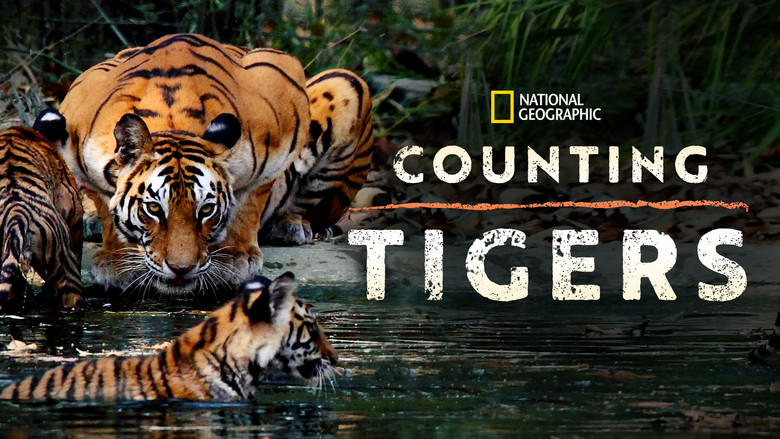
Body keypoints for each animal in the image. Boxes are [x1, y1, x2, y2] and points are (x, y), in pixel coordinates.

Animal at [58, 33, 373, 295]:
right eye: (153, 209)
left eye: (206, 210)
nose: (181, 270)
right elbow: (105, 202)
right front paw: (117, 260)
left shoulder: (280, 91)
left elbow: (251, 200)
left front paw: (236, 256)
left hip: (347, 84)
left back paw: (289, 226)